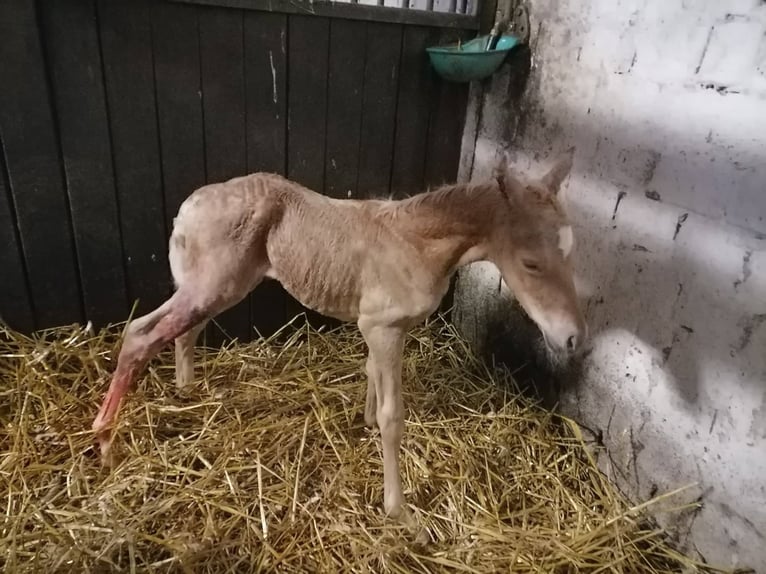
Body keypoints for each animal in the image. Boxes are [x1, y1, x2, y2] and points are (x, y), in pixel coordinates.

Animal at [94, 151, 588, 524]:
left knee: (183, 331)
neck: (418, 242)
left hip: (216, 286)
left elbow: (370, 375)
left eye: (571, 253)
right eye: (530, 263)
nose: (572, 339)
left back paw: (187, 394)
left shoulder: (378, 327)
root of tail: (190, 205)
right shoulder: (383, 327)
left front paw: (364, 421)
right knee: (140, 333)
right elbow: (394, 418)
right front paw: (401, 514)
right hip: (211, 286)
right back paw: (105, 443)